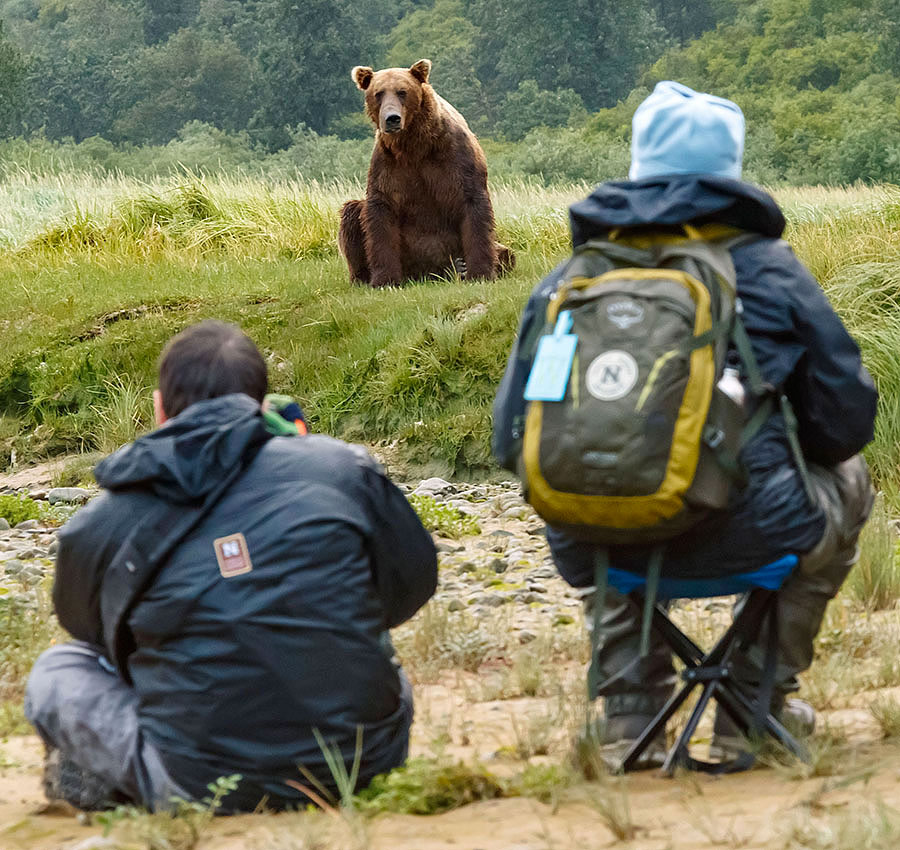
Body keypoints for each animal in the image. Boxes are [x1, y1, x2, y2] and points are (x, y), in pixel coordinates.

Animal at [338, 58, 512, 288]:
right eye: (379, 93)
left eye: (402, 91)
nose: (392, 119)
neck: (414, 144)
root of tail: (426, 275)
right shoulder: (388, 164)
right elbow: (380, 213)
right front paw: (385, 279)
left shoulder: (455, 155)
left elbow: (473, 204)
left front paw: (479, 272)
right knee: (351, 213)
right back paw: (362, 277)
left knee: (507, 253)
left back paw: (461, 267)